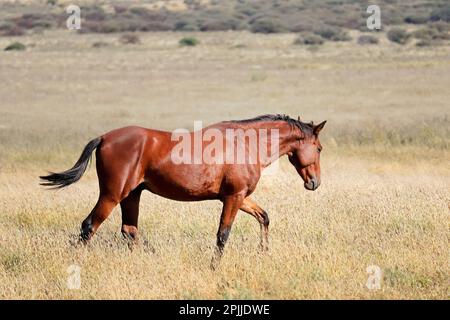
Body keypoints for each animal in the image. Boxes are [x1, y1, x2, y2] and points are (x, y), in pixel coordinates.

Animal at [40, 115, 326, 268]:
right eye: (319, 148)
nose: (315, 182)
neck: (245, 144)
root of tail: (104, 137)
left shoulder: (240, 197)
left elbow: (263, 217)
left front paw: (264, 252)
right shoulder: (233, 198)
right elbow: (223, 234)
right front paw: (214, 266)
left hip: (132, 195)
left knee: (129, 231)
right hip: (112, 196)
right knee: (89, 226)